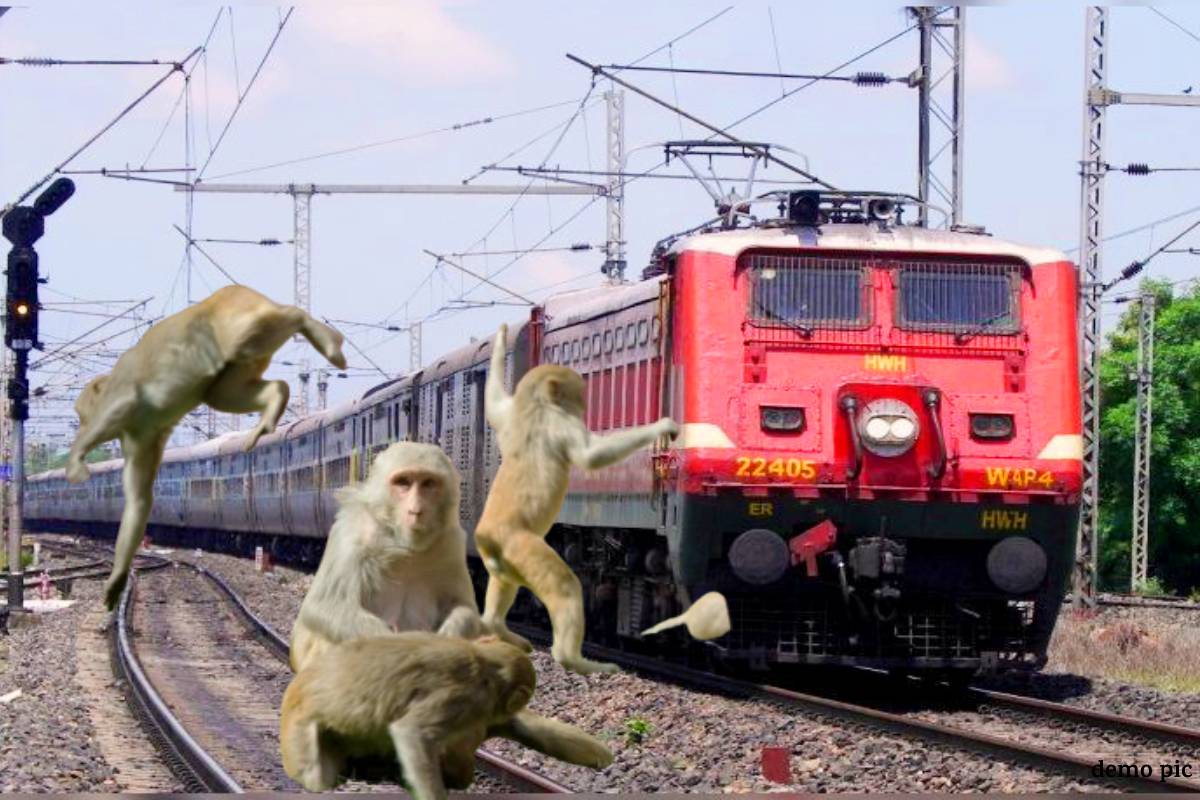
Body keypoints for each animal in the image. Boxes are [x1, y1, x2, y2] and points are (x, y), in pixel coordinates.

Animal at [67, 285, 347, 610]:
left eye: (82, 412)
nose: (81, 420)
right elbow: (138, 502)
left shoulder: (123, 405)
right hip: (231, 373)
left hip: (241, 328)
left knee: (286, 318)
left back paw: (325, 342)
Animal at [279, 632, 613, 798]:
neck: (483, 662)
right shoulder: (469, 698)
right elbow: (412, 733)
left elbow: (529, 729)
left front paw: (606, 759)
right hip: (299, 733)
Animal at [476, 323, 679, 674]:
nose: (585, 402)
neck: (535, 404)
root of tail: (485, 537)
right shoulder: (559, 424)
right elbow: (591, 454)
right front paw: (662, 425)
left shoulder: (509, 413)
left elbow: (494, 400)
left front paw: (500, 336)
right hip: (522, 546)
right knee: (566, 588)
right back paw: (583, 661)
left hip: (503, 560)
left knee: (501, 588)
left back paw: (503, 630)